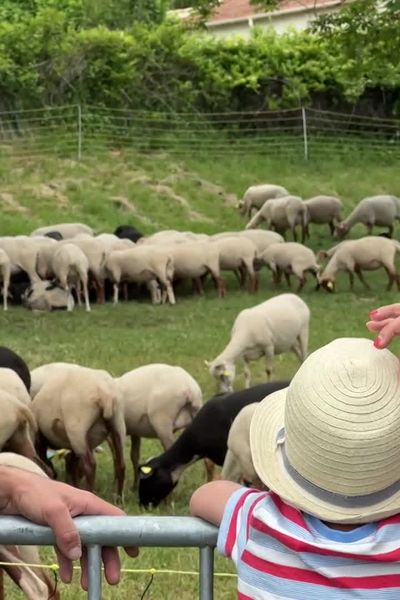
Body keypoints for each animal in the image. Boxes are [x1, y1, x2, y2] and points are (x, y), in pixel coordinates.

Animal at [30, 366, 125, 496]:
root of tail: (105, 393)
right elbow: (71, 463)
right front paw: (73, 485)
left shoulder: (40, 438)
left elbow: (48, 463)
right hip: (117, 424)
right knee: (121, 463)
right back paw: (118, 497)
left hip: (77, 428)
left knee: (90, 465)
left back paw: (89, 492)